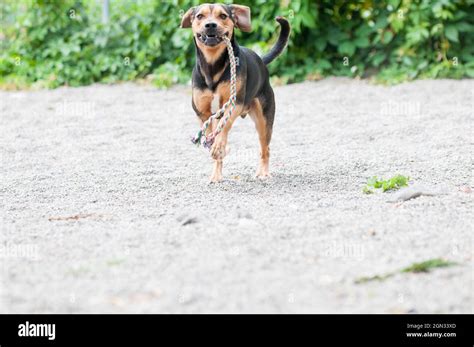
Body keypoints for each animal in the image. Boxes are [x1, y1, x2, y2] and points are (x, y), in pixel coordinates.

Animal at [181, 3, 290, 182]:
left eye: (223, 16)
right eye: (200, 16)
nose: (210, 25)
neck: (213, 66)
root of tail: (260, 60)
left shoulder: (234, 103)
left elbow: (224, 127)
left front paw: (218, 146)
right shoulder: (203, 114)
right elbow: (213, 136)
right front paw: (215, 172)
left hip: (264, 119)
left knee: (265, 148)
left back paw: (263, 172)